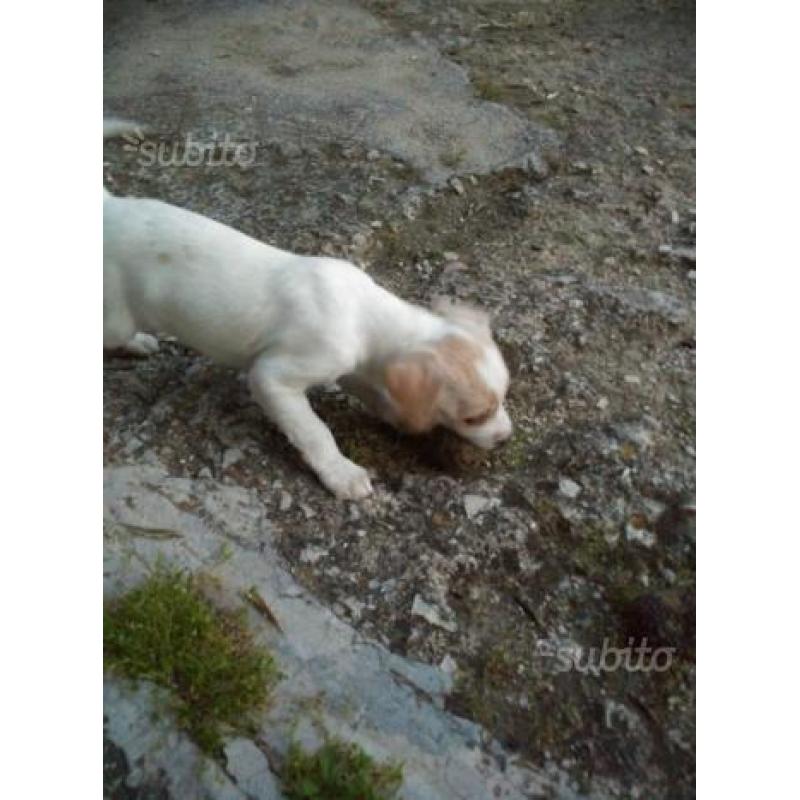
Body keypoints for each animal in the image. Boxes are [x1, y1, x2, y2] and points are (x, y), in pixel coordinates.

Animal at [104, 122, 512, 496]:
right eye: (475, 416)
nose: (507, 438)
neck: (363, 312)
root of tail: (109, 206)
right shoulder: (272, 377)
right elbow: (316, 432)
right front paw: (343, 474)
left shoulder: (355, 369)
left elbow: (376, 394)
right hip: (114, 317)